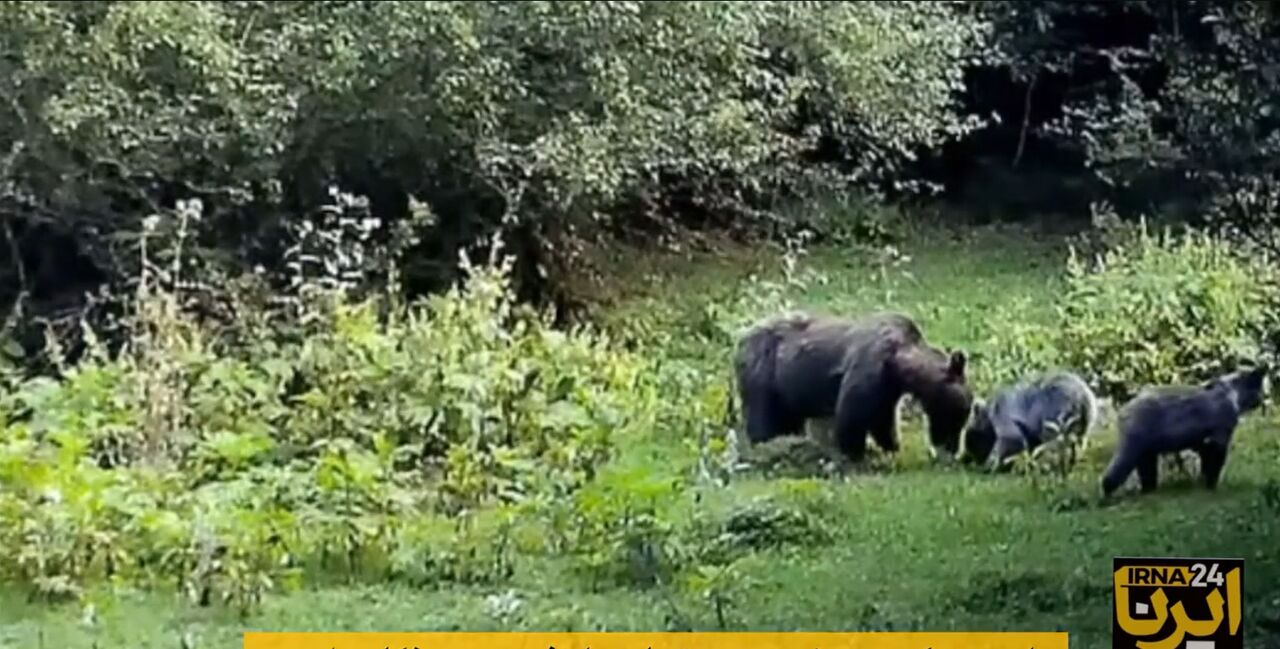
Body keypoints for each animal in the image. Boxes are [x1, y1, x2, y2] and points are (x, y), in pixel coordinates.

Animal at [737, 313, 972, 463]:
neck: (898, 365)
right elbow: (852, 418)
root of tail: (740, 340)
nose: (952, 449)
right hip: (764, 376)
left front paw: (891, 447)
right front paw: (855, 454)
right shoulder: (868, 370)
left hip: (788, 394)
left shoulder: (887, 392)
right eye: (960, 413)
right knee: (762, 420)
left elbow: (883, 422)